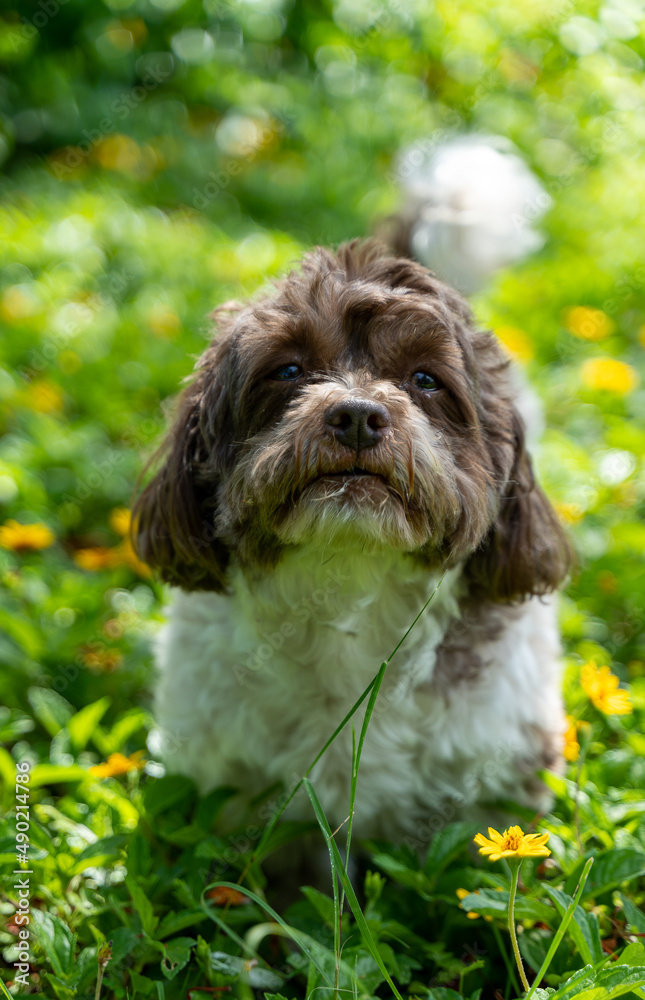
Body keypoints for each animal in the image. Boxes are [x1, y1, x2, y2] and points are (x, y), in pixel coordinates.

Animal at [135, 240, 568, 844]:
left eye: (425, 379)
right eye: (288, 370)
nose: (358, 414)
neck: (348, 580)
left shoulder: (498, 777)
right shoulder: (224, 786)